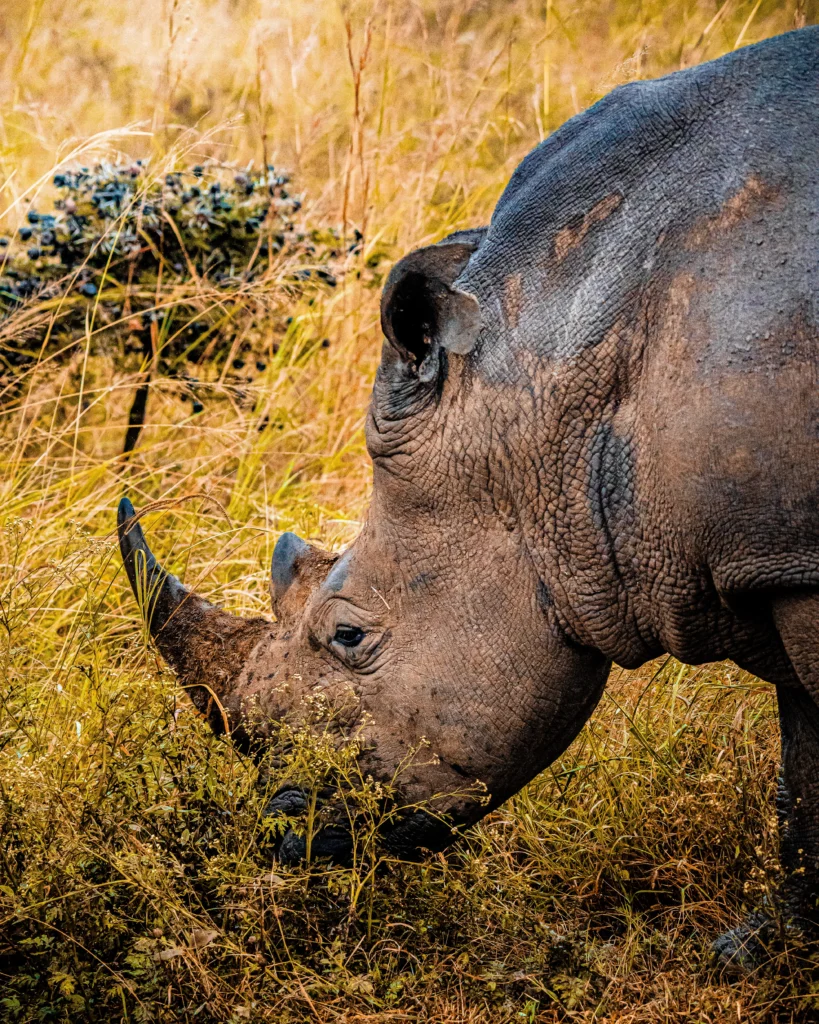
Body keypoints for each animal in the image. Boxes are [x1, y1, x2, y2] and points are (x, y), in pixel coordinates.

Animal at [119, 26, 819, 964]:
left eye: (348, 636)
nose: (283, 838)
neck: (544, 369)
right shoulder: (769, 551)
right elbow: (802, 764)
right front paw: (758, 955)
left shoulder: (790, 557)